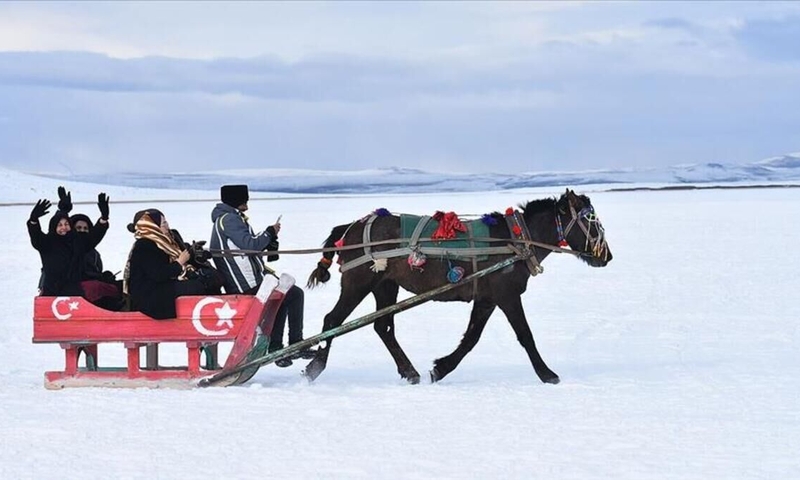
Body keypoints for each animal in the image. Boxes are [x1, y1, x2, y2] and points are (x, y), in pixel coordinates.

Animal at [304, 189, 608, 384]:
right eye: (592, 222)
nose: (607, 256)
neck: (516, 240)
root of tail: (349, 228)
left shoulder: (487, 298)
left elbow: (472, 337)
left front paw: (441, 368)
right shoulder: (507, 295)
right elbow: (525, 334)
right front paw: (547, 374)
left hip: (385, 284)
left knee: (383, 327)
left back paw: (410, 372)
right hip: (358, 282)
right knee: (333, 320)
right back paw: (314, 368)